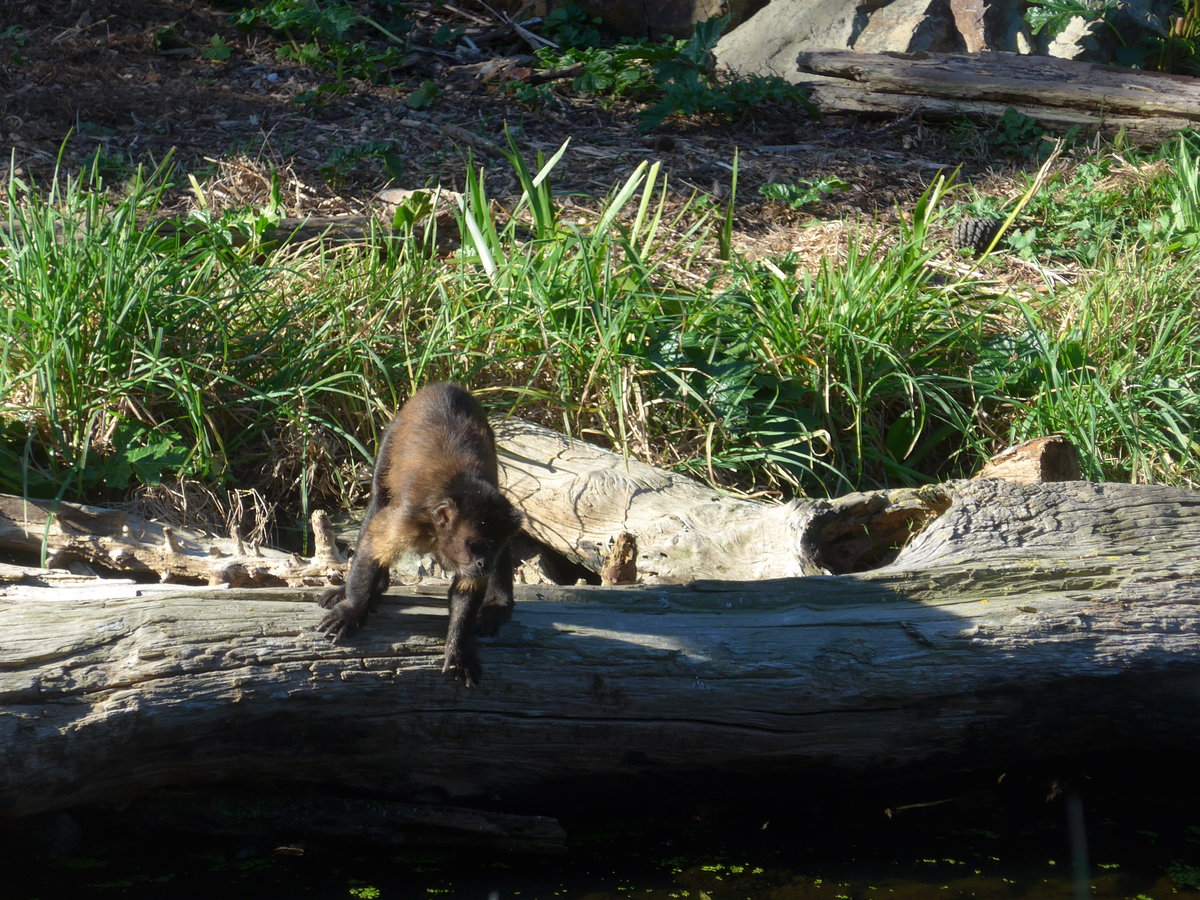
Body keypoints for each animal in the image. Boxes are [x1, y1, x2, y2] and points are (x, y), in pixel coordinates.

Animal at [316, 382, 522, 687]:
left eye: (490, 548)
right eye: (474, 545)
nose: (484, 563)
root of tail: (445, 385)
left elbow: (467, 588)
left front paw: (458, 648)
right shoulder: (410, 517)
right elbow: (373, 547)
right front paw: (353, 608)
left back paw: (498, 604)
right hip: (392, 432)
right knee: (379, 499)